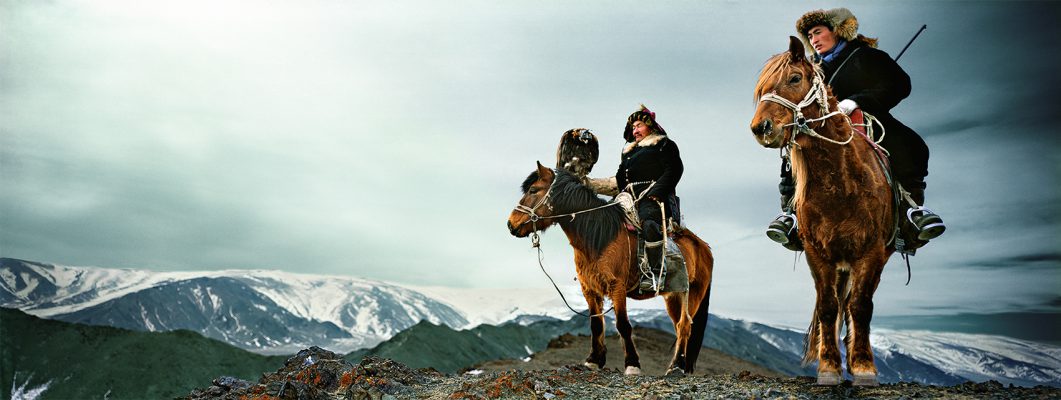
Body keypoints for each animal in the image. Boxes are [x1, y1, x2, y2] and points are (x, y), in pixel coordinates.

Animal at [505, 161, 712, 373]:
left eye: (533, 190)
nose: (510, 224)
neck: (600, 238)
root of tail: (703, 247)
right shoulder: (589, 289)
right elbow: (596, 324)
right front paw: (594, 360)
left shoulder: (617, 287)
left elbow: (623, 325)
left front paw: (632, 364)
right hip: (673, 297)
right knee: (679, 327)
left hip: (691, 294)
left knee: (685, 326)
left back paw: (676, 367)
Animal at [746, 38, 895, 386]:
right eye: (761, 89)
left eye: (795, 78)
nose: (761, 128)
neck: (839, 183)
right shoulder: (818, 252)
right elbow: (828, 307)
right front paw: (828, 368)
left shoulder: (872, 252)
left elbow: (861, 307)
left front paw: (864, 368)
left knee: (854, 306)